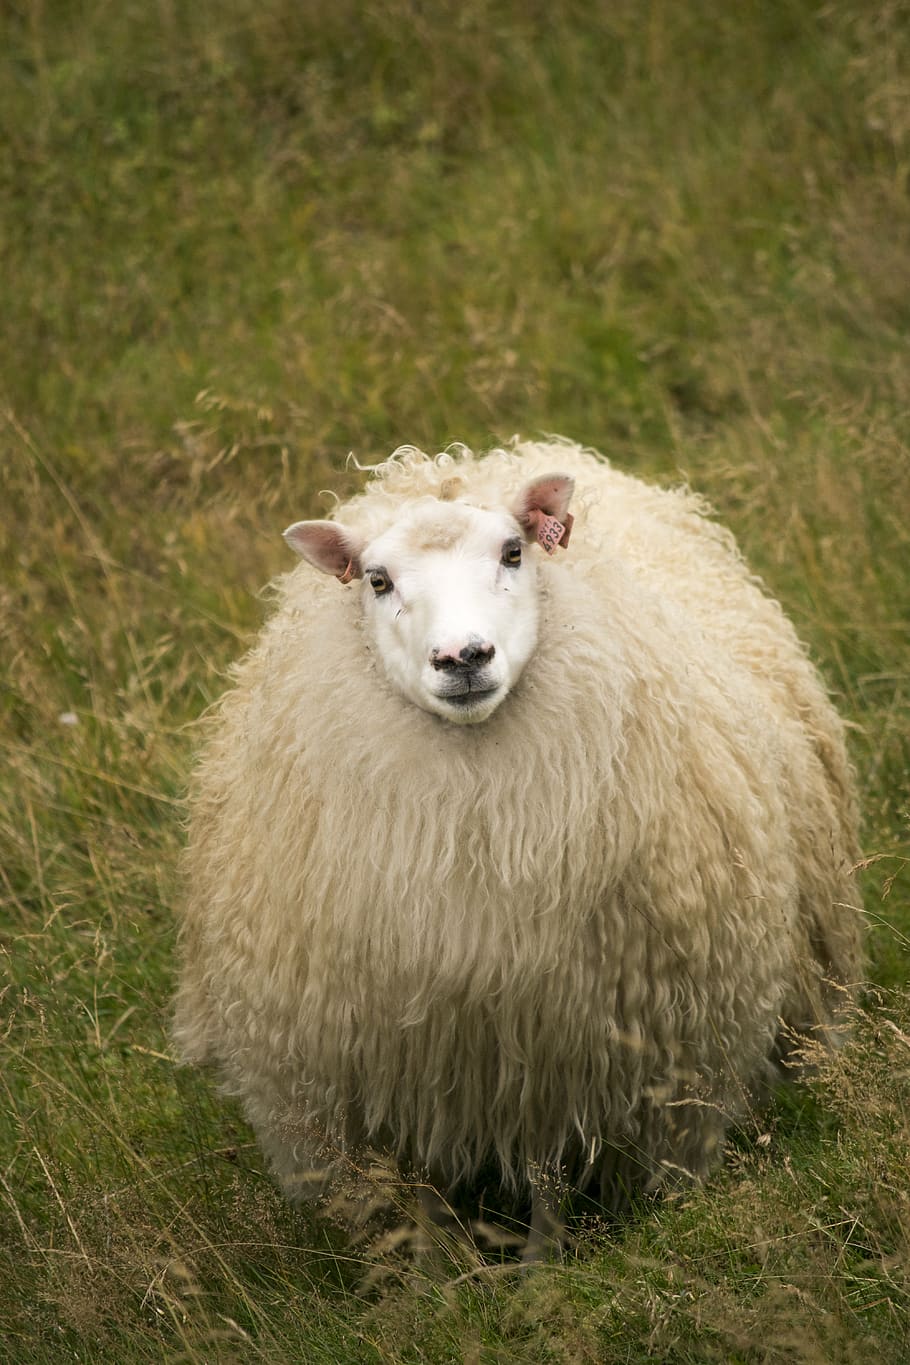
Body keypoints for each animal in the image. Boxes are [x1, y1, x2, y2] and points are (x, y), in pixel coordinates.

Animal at [174, 439, 864, 1259]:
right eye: (377, 580)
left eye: (512, 552)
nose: (462, 656)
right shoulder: (404, 1054)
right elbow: (426, 1180)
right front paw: (429, 1270)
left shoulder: (553, 1044)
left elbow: (547, 1172)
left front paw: (543, 1265)